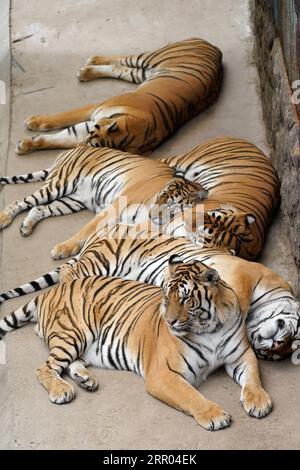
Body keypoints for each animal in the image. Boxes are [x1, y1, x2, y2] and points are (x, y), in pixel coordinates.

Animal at [0, 136, 278, 262]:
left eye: (173, 206)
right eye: (163, 196)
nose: (155, 214)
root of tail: (77, 148)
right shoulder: (112, 207)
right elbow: (84, 231)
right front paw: (63, 249)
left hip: (71, 200)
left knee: (38, 209)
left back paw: (26, 227)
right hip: (61, 184)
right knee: (21, 202)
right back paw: (5, 219)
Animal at [0, 258, 274, 432]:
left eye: (186, 299)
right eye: (167, 298)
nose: (170, 321)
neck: (209, 328)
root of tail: (49, 292)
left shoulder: (241, 354)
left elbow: (253, 376)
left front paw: (259, 401)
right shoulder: (163, 374)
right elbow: (191, 396)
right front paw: (215, 415)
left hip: (82, 345)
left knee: (70, 364)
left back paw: (85, 380)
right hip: (72, 334)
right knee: (45, 368)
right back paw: (61, 391)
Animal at [1, 219, 298, 360]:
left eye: (283, 351)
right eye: (286, 330)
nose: (275, 346)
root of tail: (104, 230)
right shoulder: (240, 276)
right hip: (102, 258)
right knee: (67, 273)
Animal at [16, 37, 223, 154]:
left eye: (94, 146)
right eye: (91, 138)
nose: (81, 148)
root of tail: (216, 49)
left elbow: (59, 138)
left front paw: (25, 144)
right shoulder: (96, 110)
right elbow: (63, 117)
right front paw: (33, 123)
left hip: (140, 73)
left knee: (120, 68)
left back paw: (87, 70)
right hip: (148, 59)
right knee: (122, 59)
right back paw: (92, 60)